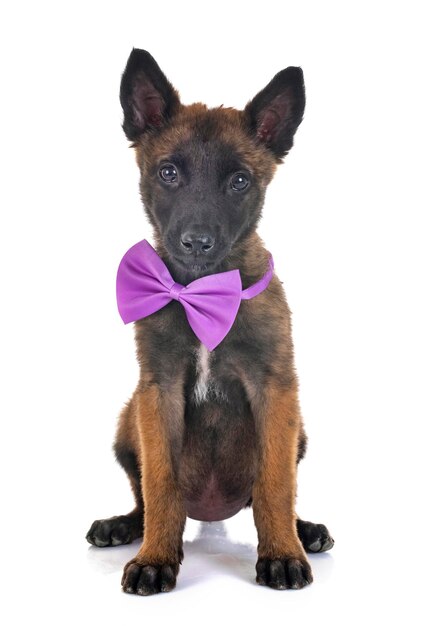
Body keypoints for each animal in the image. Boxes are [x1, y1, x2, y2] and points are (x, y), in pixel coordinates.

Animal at [85, 50, 334, 596]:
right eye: (168, 172)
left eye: (240, 180)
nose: (196, 242)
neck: (200, 294)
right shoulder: (158, 393)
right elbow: (160, 483)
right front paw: (155, 558)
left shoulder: (275, 389)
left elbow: (276, 485)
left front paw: (282, 553)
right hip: (128, 418)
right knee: (147, 500)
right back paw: (125, 526)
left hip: (299, 427)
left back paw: (304, 531)